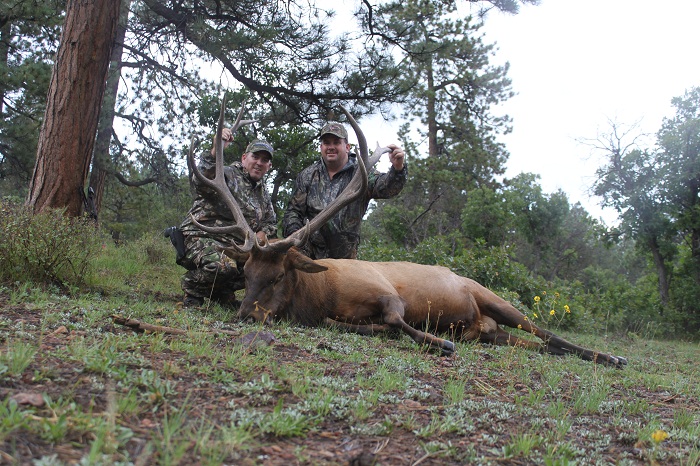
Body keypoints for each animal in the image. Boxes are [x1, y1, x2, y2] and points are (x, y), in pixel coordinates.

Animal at [187, 96, 627, 368]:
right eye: (246, 274)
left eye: (278, 275)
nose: (245, 315)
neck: (320, 295)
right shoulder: (331, 314)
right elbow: (345, 324)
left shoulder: (387, 293)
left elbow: (398, 320)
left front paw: (442, 342)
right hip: (495, 334)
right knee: (536, 343)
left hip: (494, 298)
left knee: (547, 331)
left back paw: (613, 357)